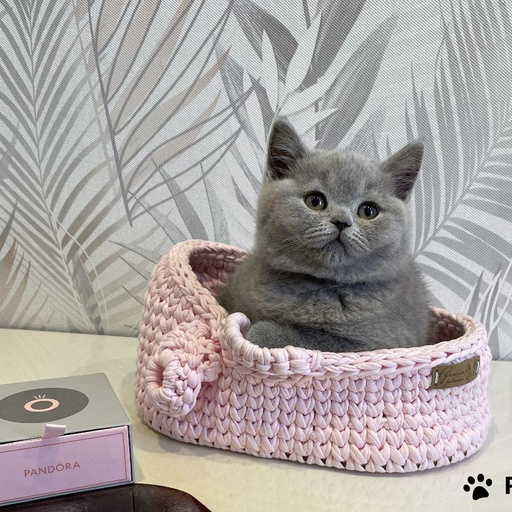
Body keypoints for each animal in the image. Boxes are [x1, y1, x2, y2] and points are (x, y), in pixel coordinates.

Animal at [218, 118, 431, 352]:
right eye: (315, 201)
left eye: (368, 211)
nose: (341, 221)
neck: (320, 285)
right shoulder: (232, 295)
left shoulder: (382, 343)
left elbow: (319, 340)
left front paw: (262, 332)